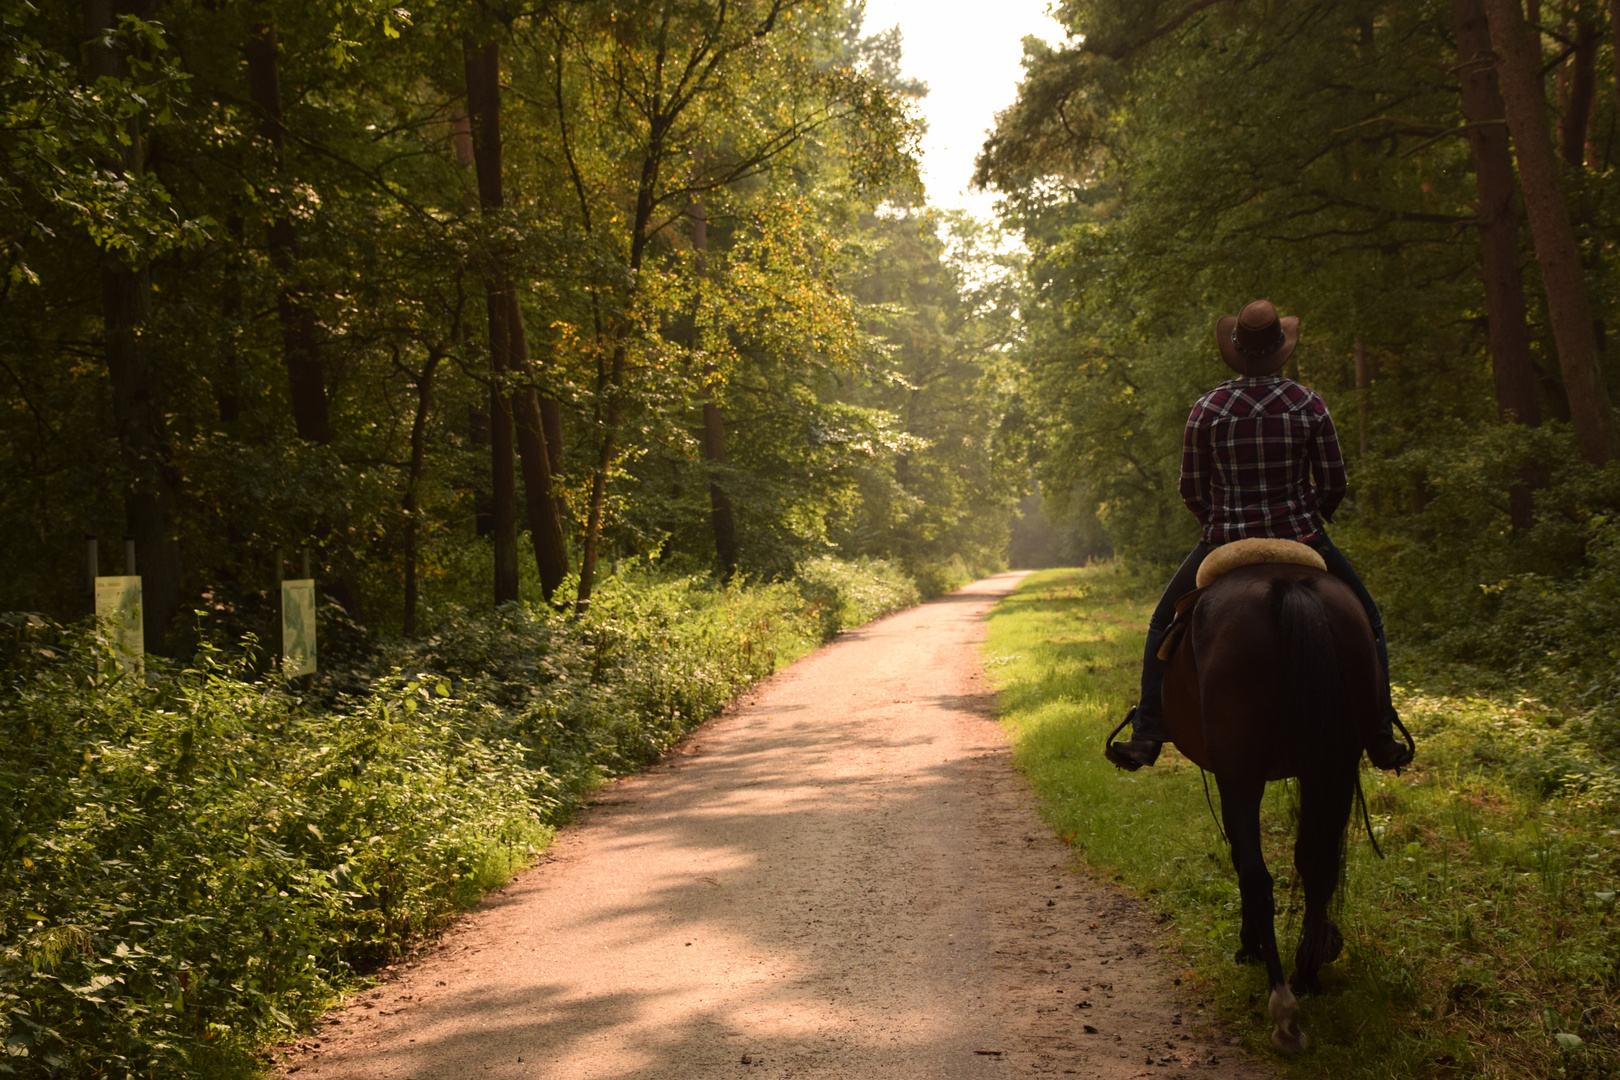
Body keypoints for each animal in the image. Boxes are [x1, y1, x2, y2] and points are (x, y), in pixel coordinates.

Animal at [1166, 563, 1380, 1049]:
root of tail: (1286, 583)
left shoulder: (1235, 776)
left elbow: (1241, 860)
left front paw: (1249, 945)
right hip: (1333, 762)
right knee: (1319, 863)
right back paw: (1307, 972)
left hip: (1241, 771)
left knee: (1256, 873)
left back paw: (1282, 1004)